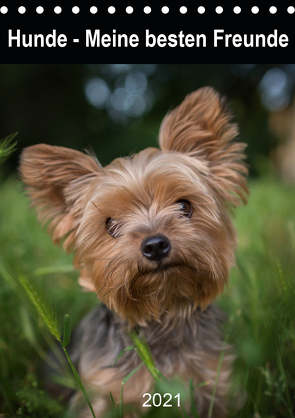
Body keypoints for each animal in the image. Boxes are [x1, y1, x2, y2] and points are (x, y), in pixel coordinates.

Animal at [19, 86, 249, 416]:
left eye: (184, 206)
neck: (163, 315)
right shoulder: (104, 393)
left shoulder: (215, 381)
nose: (155, 245)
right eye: (111, 224)